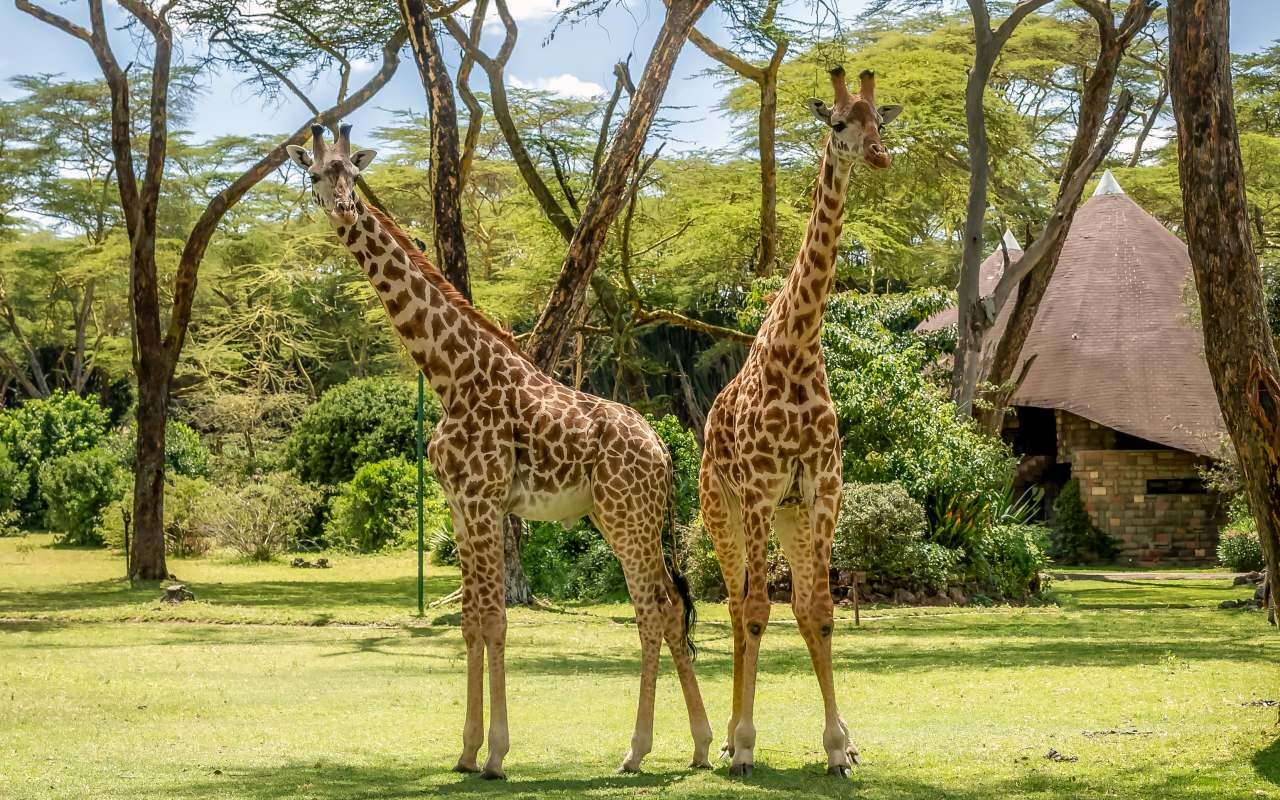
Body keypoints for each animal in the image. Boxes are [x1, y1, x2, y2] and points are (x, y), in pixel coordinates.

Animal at [286, 125, 713, 779]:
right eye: (313, 173)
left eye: (352, 174)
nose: (343, 208)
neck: (448, 374)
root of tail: (665, 452)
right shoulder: (462, 506)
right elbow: (470, 621)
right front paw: (465, 751)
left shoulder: (485, 501)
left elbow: (496, 619)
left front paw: (496, 754)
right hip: (622, 518)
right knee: (668, 609)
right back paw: (697, 746)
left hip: (628, 517)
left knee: (655, 609)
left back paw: (639, 750)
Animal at [698, 67, 902, 778]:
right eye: (838, 123)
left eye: (879, 121)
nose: (879, 156)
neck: (798, 342)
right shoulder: (759, 489)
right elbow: (760, 610)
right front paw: (744, 745)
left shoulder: (822, 489)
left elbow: (819, 610)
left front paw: (840, 746)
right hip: (722, 508)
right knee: (738, 607)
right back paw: (728, 740)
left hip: (787, 518)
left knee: (783, 604)